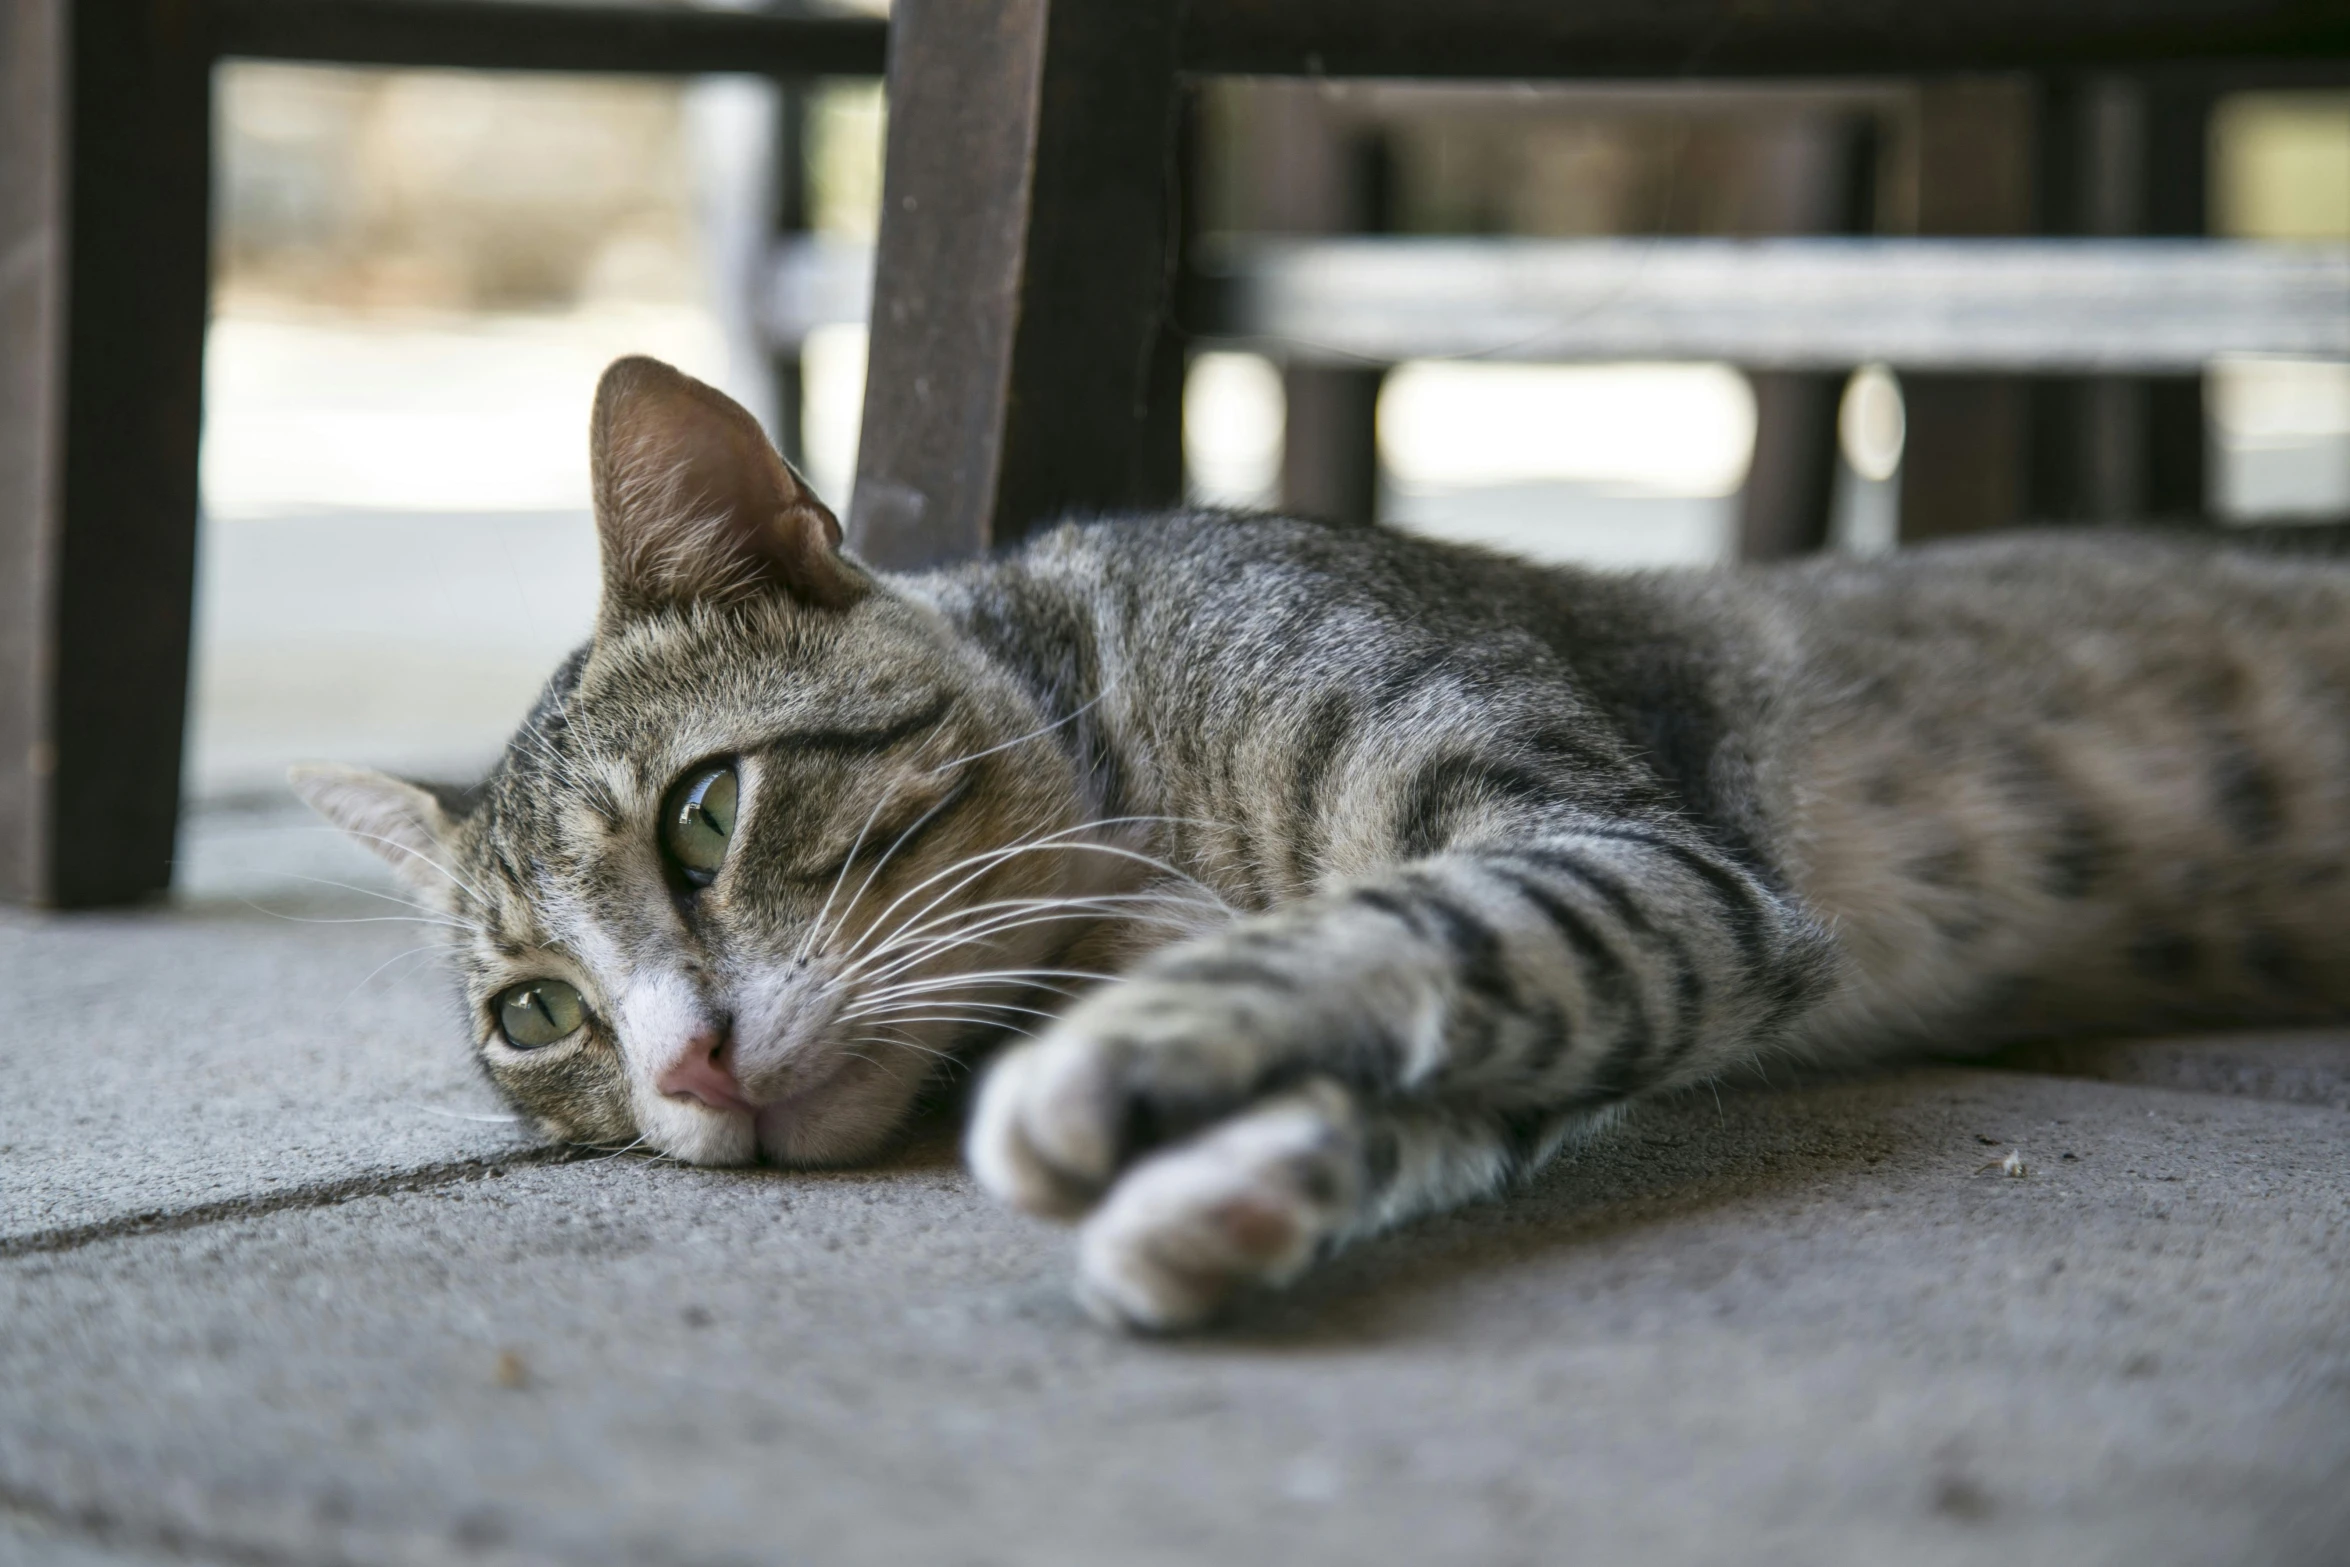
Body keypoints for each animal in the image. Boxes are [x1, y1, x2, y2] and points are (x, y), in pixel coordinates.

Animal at [289, 361, 2350, 1334]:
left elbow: (1430, 923)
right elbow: (1482, 1055)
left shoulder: (1636, 854)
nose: (686, 1068)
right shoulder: (1664, 953)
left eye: (705, 813)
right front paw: (1229, 1190)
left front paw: (1121, 1072)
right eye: (540, 1016)